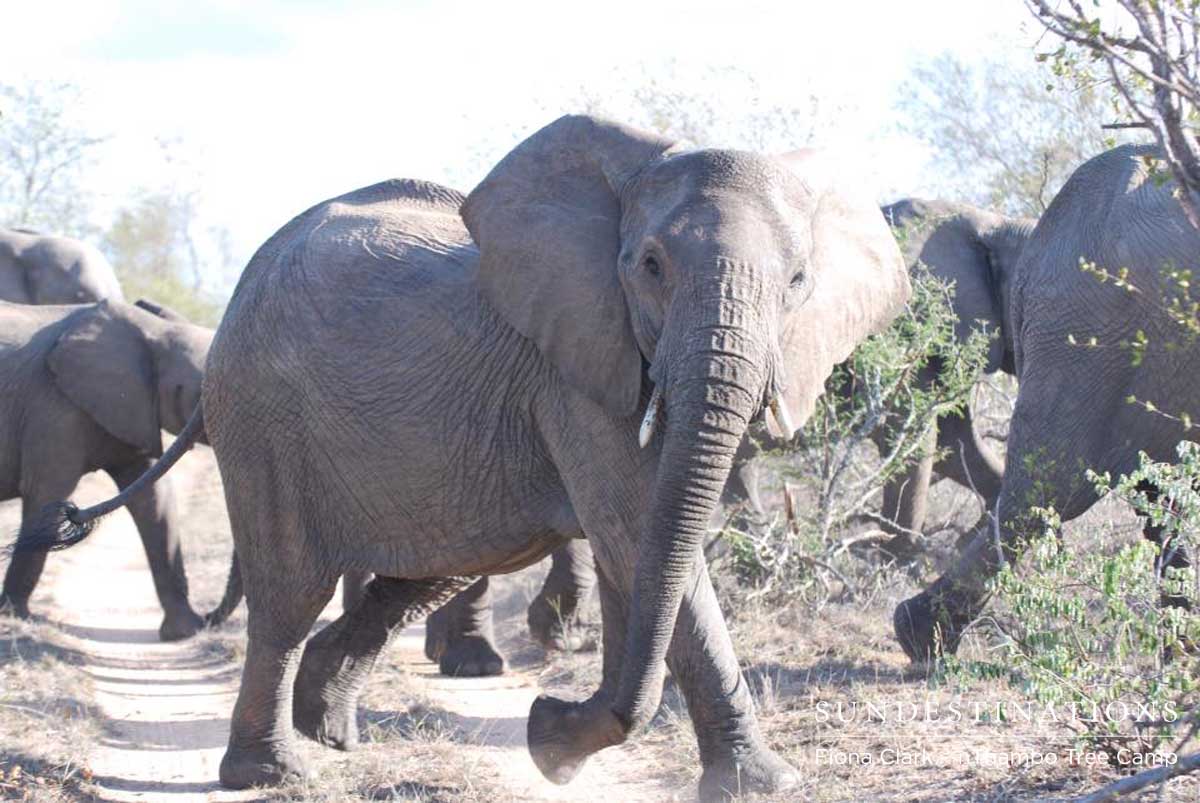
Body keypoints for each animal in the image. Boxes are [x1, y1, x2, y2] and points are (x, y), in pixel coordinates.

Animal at [0, 297, 211, 641]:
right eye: (202, 394)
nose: (211, 618)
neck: (154, 330)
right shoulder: (55, 407)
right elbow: (46, 495)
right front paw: (16, 616)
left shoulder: (132, 409)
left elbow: (154, 501)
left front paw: (184, 632)